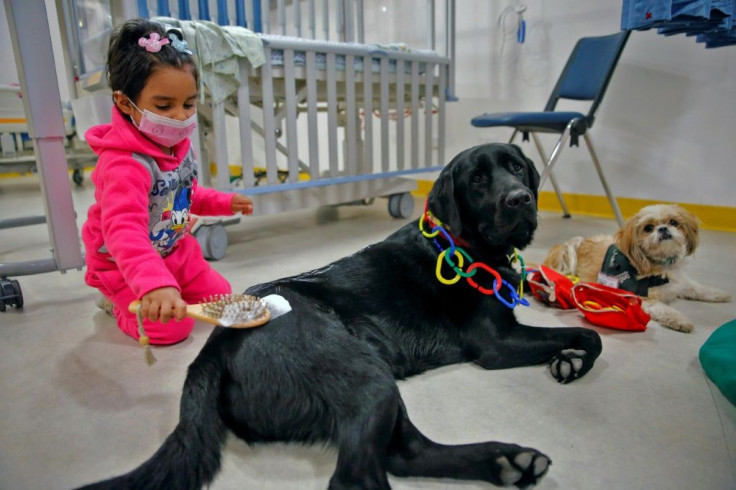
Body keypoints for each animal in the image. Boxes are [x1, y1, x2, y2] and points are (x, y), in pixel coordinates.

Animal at [540, 203, 732, 334]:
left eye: (673, 222)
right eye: (649, 228)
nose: (663, 229)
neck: (660, 264)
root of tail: (580, 243)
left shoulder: (679, 282)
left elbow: (697, 288)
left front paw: (719, 294)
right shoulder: (645, 298)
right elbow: (666, 310)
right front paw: (680, 320)